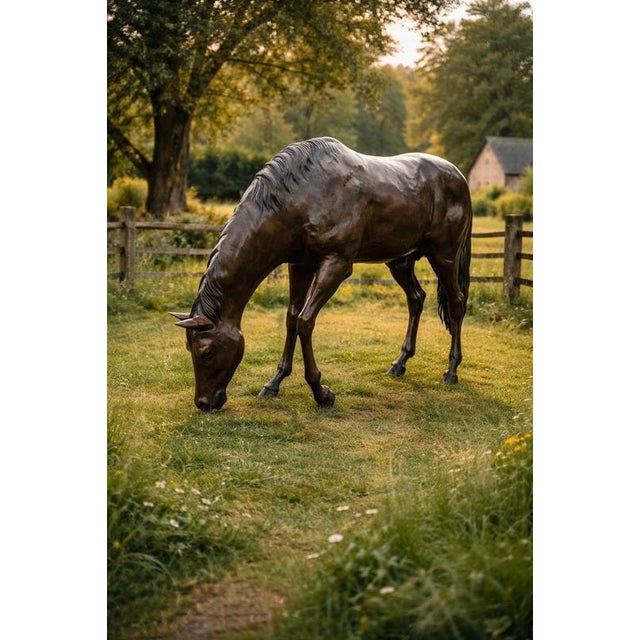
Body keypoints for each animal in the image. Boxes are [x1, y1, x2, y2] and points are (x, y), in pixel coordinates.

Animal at [171, 137, 472, 412]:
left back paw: (451, 371)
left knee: (456, 303)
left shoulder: (336, 264)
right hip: (400, 262)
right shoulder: (300, 265)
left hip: (443, 256)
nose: (203, 403)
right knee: (416, 299)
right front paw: (274, 383)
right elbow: (292, 319)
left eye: (206, 352)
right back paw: (399, 364)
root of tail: (458, 176)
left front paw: (321, 392)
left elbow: (305, 321)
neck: (299, 196)